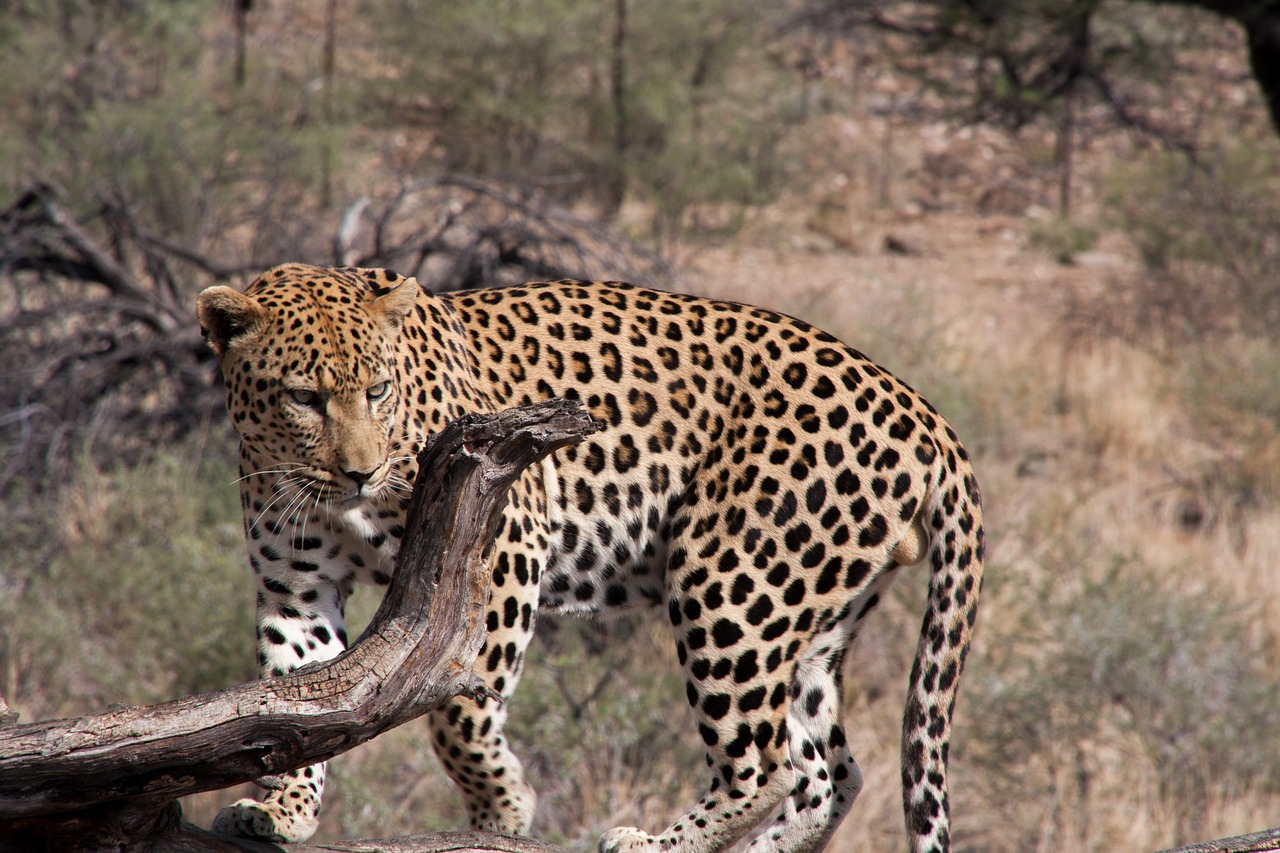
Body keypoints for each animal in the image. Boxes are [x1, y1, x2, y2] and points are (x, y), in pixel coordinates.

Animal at [197, 261, 977, 850]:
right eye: (304, 397)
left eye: (378, 389)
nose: (362, 471)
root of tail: (925, 412)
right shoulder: (297, 590)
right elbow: (296, 694)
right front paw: (282, 810)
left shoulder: (502, 538)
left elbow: (461, 711)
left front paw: (501, 809)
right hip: (811, 617)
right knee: (828, 775)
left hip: (730, 583)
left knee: (767, 766)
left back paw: (654, 844)